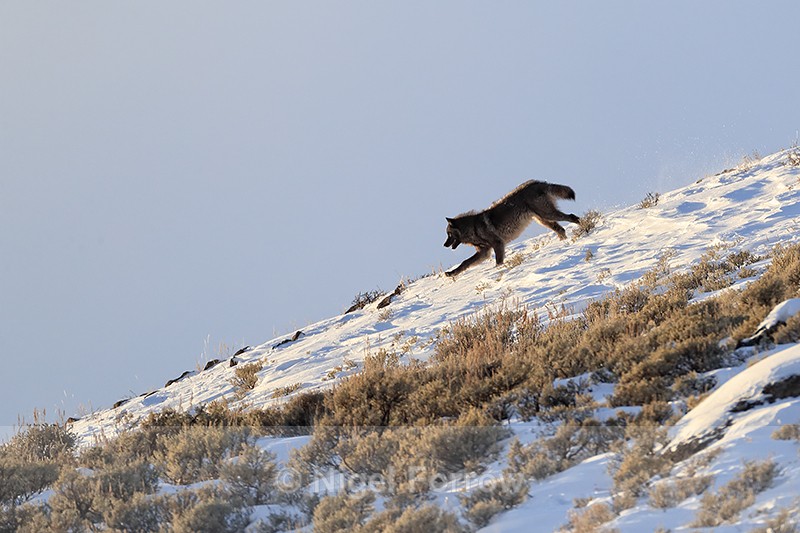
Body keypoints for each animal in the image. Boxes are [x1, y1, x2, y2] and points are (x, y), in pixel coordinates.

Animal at [443, 180, 580, 277]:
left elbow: (498, 262)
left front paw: (498, 271)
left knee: (572, 217)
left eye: (449, 234)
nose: (444, 245)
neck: (473, 229)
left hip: (548, 215)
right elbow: (464, 263)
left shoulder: (498, 244)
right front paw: (451, 273)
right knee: (561, 230)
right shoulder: (484, 252)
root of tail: (538, 182)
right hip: (544, 220)